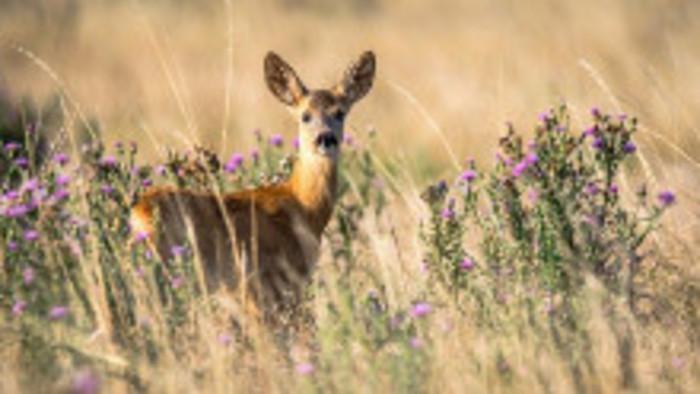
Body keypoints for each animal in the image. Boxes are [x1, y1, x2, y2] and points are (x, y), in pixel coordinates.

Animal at [129, 50, 374, 326]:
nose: (325, 139)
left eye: (340, 113)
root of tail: (140, 214)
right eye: (305, 115)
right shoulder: (268, 284)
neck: (303, 206)